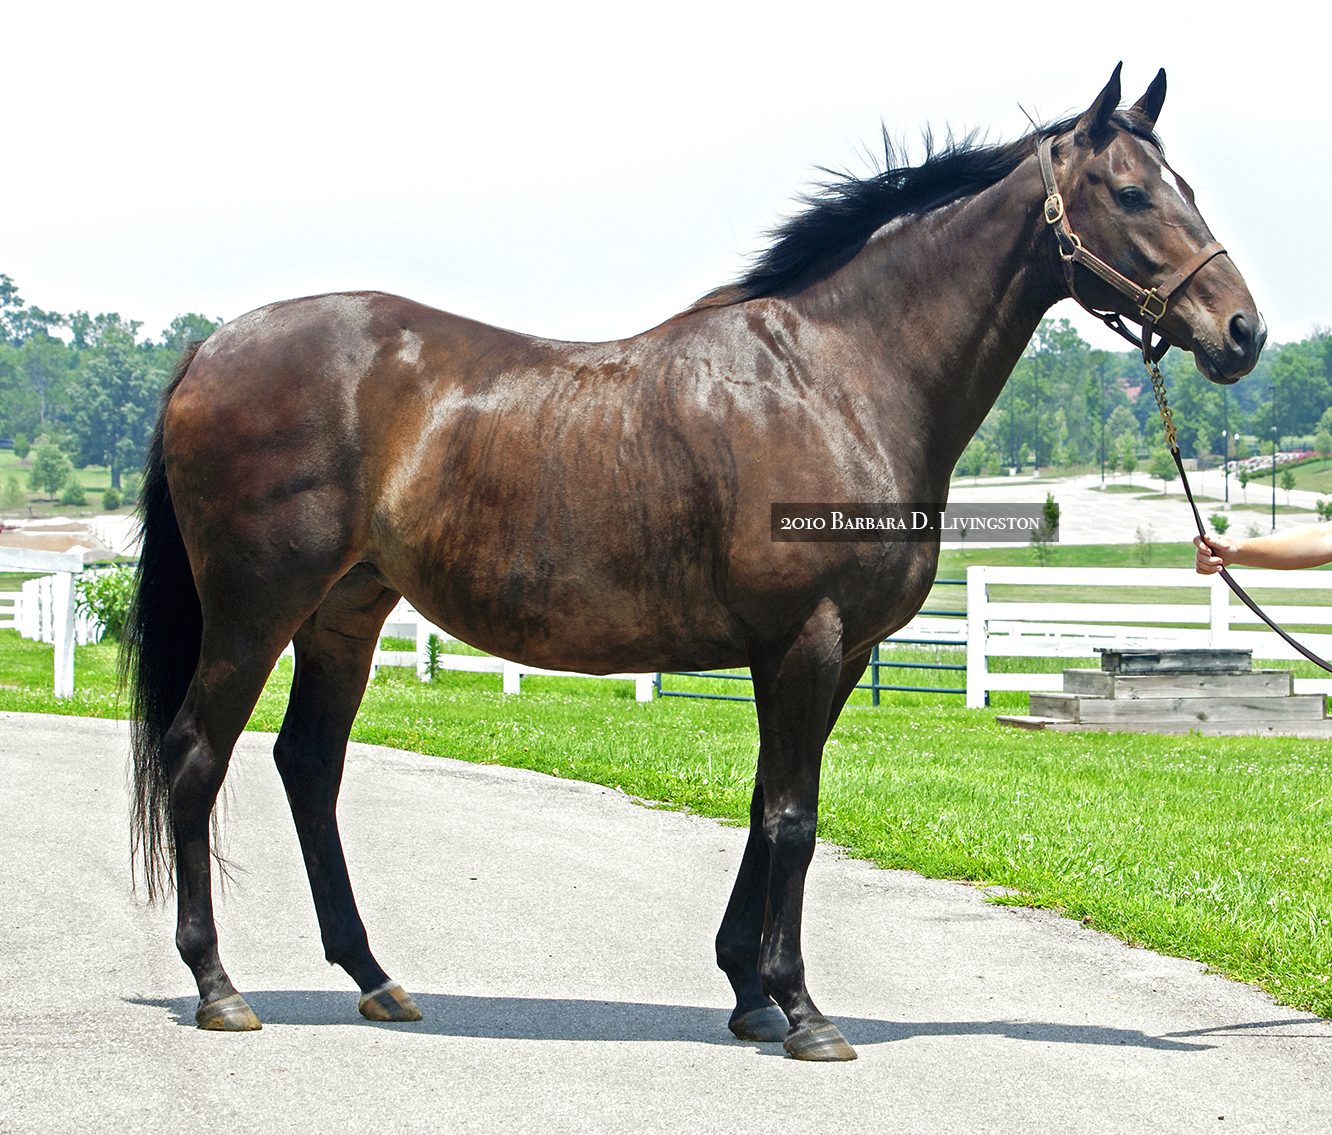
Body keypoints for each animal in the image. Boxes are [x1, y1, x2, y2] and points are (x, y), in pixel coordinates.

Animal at [129, 66, 1262, 1060]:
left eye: (1188, 187)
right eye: (1131, 191)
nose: (1241, 330)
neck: (837, 374)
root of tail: (209, 350)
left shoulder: (835, 652)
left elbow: (767, 808)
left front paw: (749, 992)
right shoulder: (805, 639)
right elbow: (795, 819)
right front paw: (803, 1011)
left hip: (345, 613)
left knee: (308, 765)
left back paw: (374, 977)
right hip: (254, 610)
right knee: (194, 756)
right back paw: (219, 986)